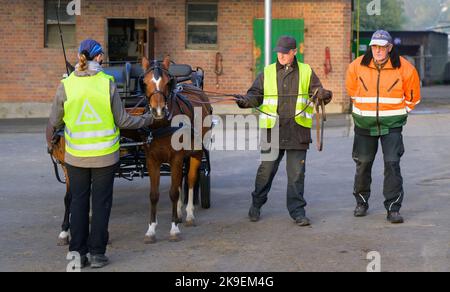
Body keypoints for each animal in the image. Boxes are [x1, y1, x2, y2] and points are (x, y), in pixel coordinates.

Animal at [140, 56, 212, 243]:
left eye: (167, 82)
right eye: (144, 82)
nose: (158, 110)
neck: (162, 125)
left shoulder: (177, 158)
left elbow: (173, 192)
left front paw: (174, 229)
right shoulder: (152, 160)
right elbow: (154, 194)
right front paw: (151, 230)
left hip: (196, 153)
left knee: (191, 179)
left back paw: (189, 216)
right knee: (180, 182)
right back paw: (179, 213)